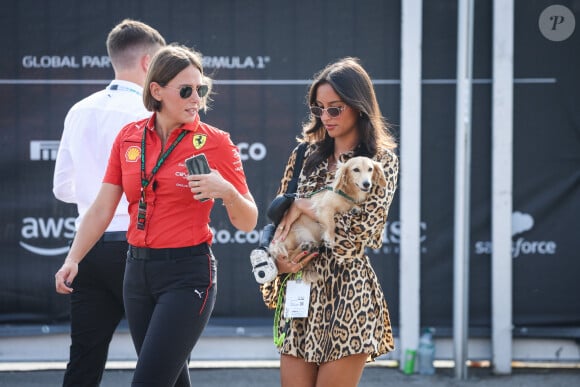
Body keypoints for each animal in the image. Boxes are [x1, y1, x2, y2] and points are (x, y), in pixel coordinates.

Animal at [268, 156, 388, 284]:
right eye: (356, 169)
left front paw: (355, 208)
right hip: (292, 235)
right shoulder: (324, 208)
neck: (347, 194)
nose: (367, 184)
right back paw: (305, 247)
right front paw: (330, 238)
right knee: (289, 257)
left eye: (370, 169)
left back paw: (309, 247)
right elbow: (331, 224)